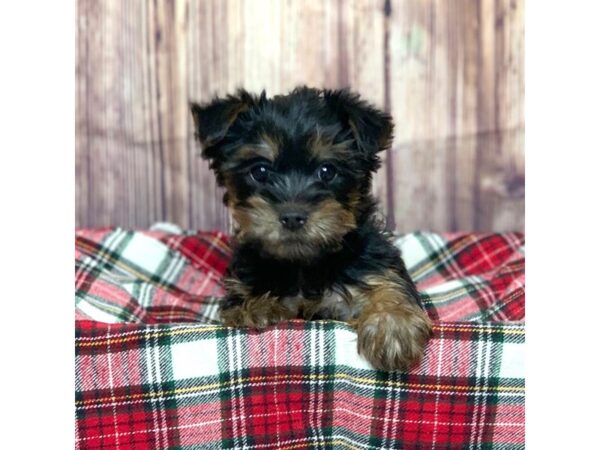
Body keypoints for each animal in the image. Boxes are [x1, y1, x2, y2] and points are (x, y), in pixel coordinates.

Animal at [192, 87, 432, 370]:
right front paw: (259, 307)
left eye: (327, 171)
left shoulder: (374, 268)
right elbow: (240, 302)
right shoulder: (242, 283)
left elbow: (389, 286)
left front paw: (392, 325)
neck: (303, 264)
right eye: (260, 171)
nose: (292, 216)